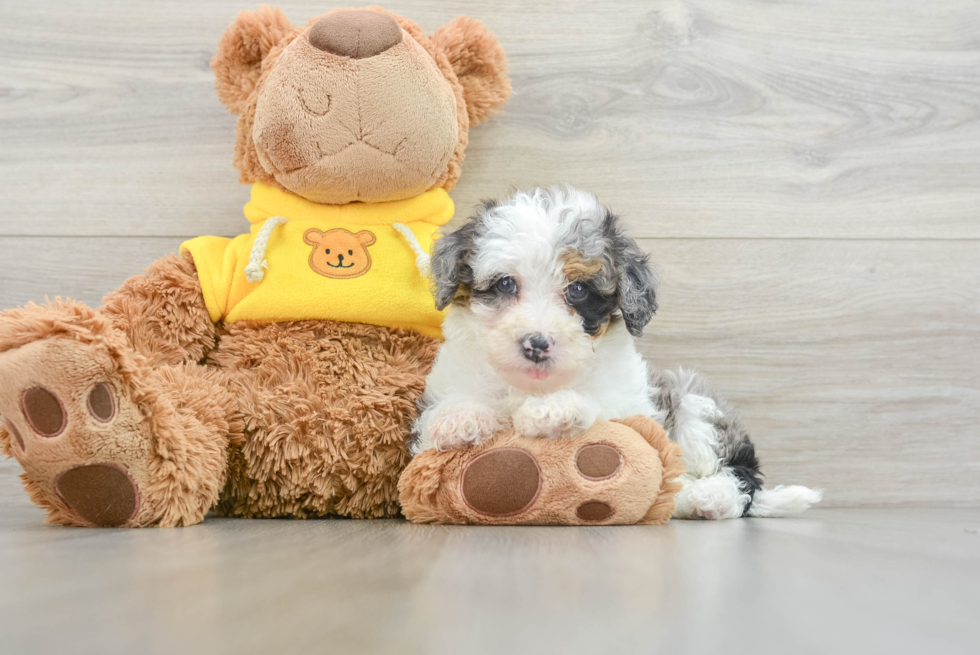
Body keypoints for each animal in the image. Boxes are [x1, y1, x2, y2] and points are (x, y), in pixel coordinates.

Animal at [410, 187, 824, 520]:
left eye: (578, 290)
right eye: (505, 284)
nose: (536, 343)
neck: (533, 386)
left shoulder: (633, 406)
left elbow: (604, 413)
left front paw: (553, 410)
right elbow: (441, 419)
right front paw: (460, 418)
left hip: (694, 402)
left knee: (739, 481)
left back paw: (707, 498)